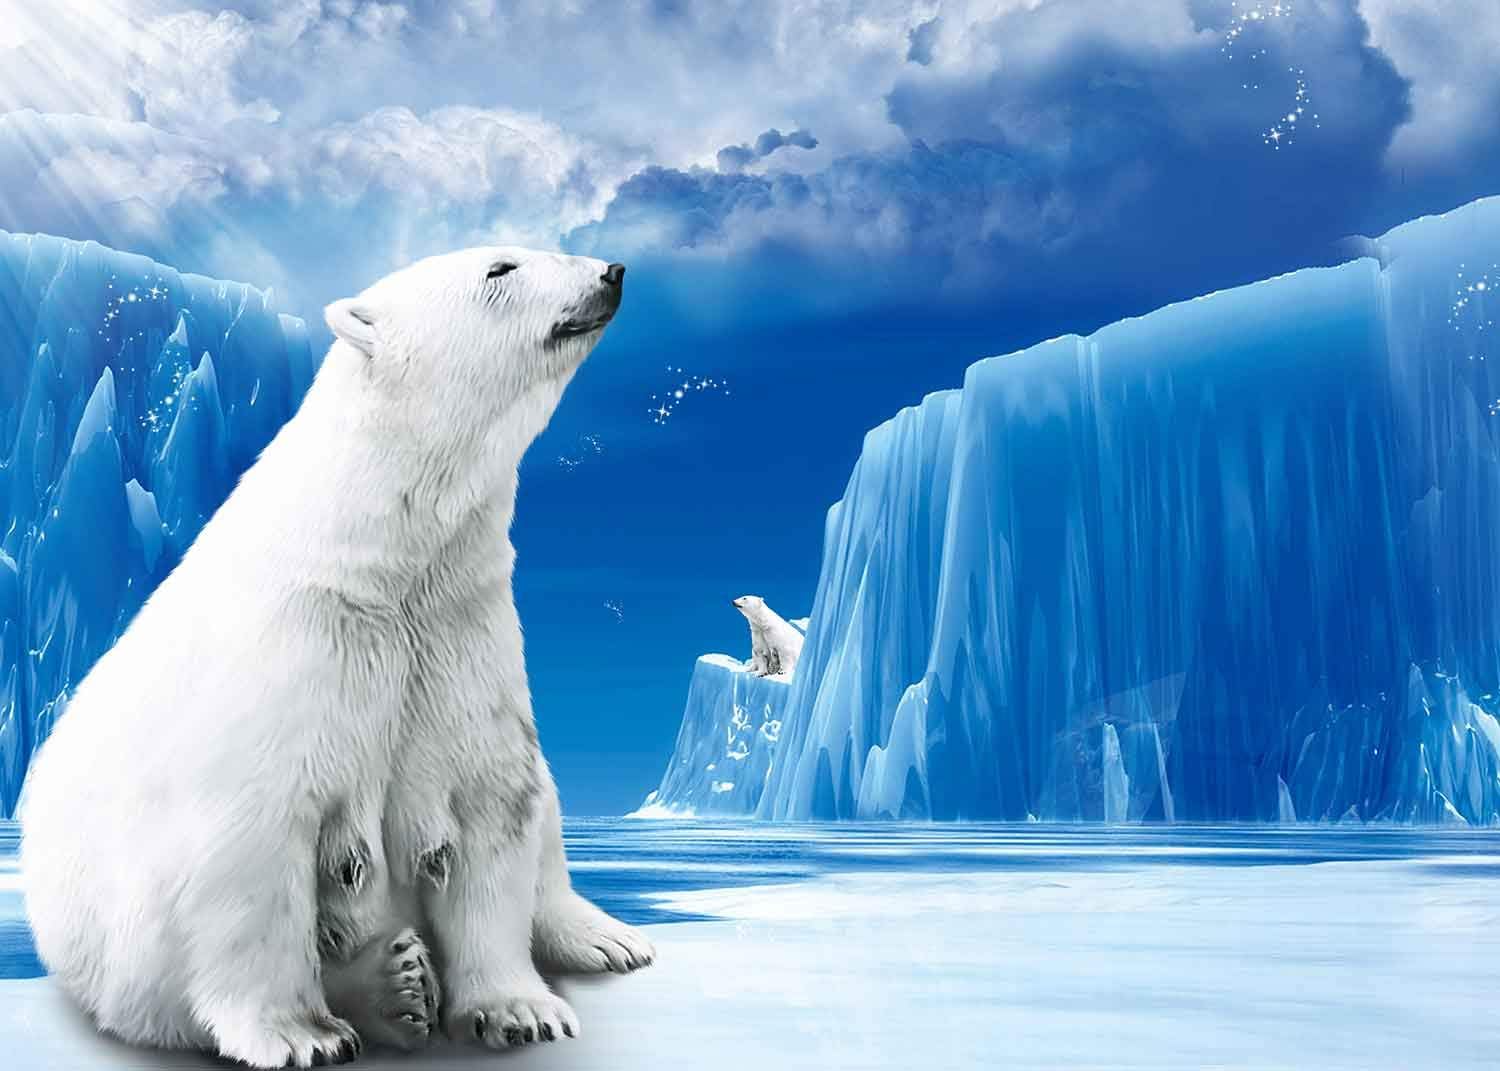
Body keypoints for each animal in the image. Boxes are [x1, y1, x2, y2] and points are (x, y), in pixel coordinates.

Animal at [19, 247, 654, 1068]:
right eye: (500, 267)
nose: (611, 272)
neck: (381, 562)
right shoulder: (295, 664)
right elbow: (252, 854)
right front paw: (303, 1034)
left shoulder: (456, 632)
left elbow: (492, 811)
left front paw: (518, 1009)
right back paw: (390, 983)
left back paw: (598, 938)